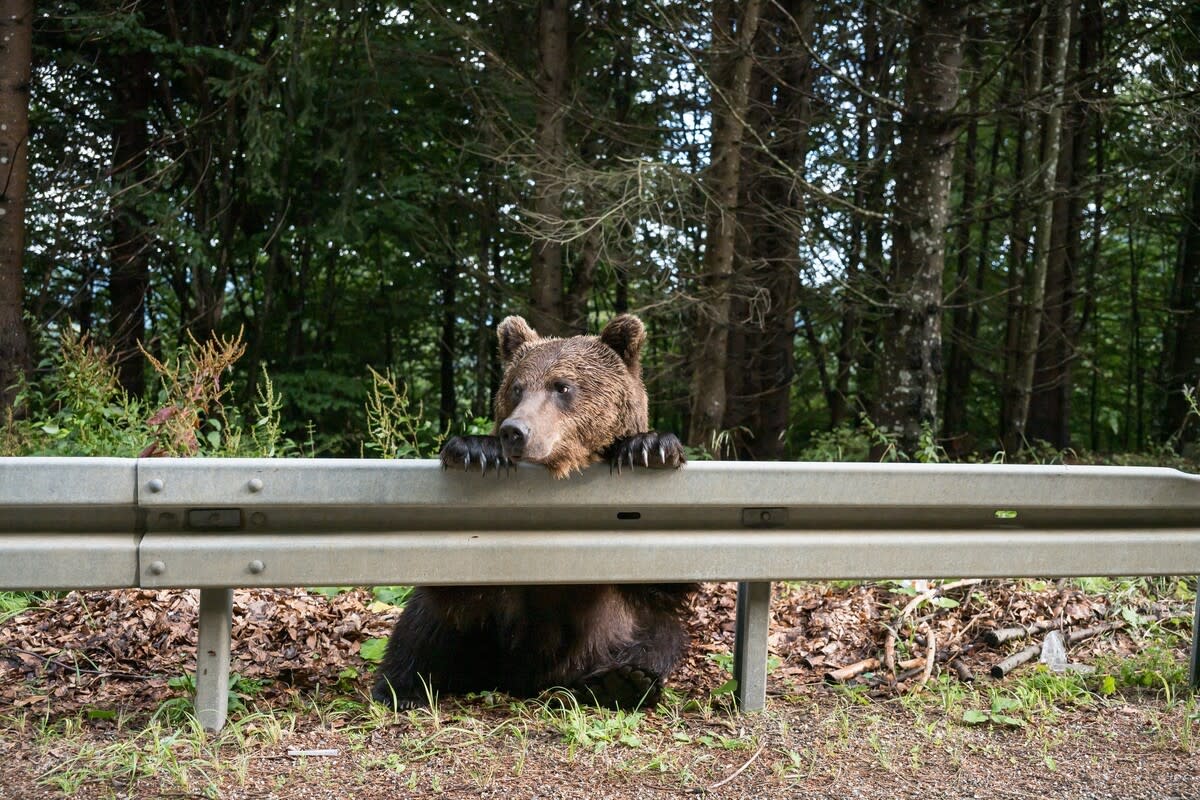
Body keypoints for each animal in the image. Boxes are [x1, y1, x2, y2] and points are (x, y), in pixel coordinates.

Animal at [371, 313, 694, 710]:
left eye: (563, 386)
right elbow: (457, 587)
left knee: (658, 637)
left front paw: (648, 447)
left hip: (614, 632)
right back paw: (400, 688)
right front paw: (475, 449)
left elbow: (662, 582)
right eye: (516, 388)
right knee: (423, 627)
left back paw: (621, 682)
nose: (515, 431)